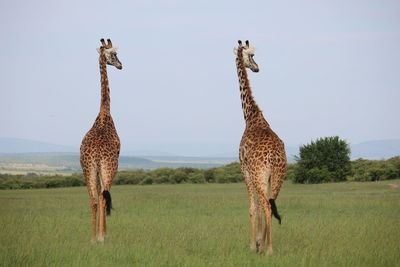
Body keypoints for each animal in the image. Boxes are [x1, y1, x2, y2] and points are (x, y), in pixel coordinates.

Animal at [234, 40, 288, 255]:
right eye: (252, 56)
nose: (257, 68)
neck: (250, 116)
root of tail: (273, 156)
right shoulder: (264, 176)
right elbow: (260, 207)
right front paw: (259, 242)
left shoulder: (245, 168)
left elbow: (252, 208)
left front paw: (253, 244)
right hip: (278, 176)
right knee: (271, 205)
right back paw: (267, 246)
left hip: (259, 174)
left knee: (265, 206)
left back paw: (269, 249)